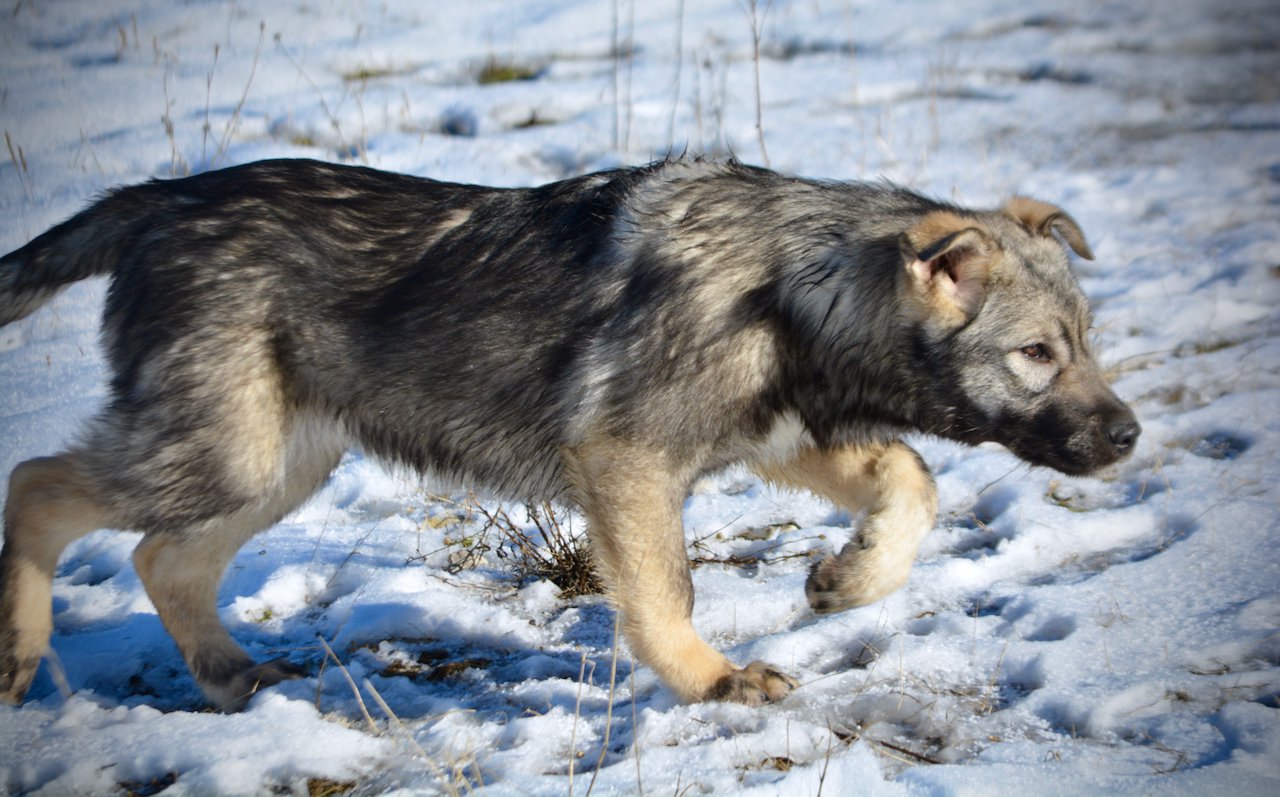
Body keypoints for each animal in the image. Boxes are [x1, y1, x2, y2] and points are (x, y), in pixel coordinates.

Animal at [0, 157, 1141, 711]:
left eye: (1083, 341)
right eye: (1036, 353)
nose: (1130, 435)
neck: (795, 284)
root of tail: (159, 199)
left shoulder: (779, 433)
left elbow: (909, 476)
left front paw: (849, 579)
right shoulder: (629, 458)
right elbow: (663, 591)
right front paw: (711, 680)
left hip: (280, 458)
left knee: (162, 556)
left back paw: (232, 675)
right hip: (224, 448)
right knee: (37, 483)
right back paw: (21, 647)